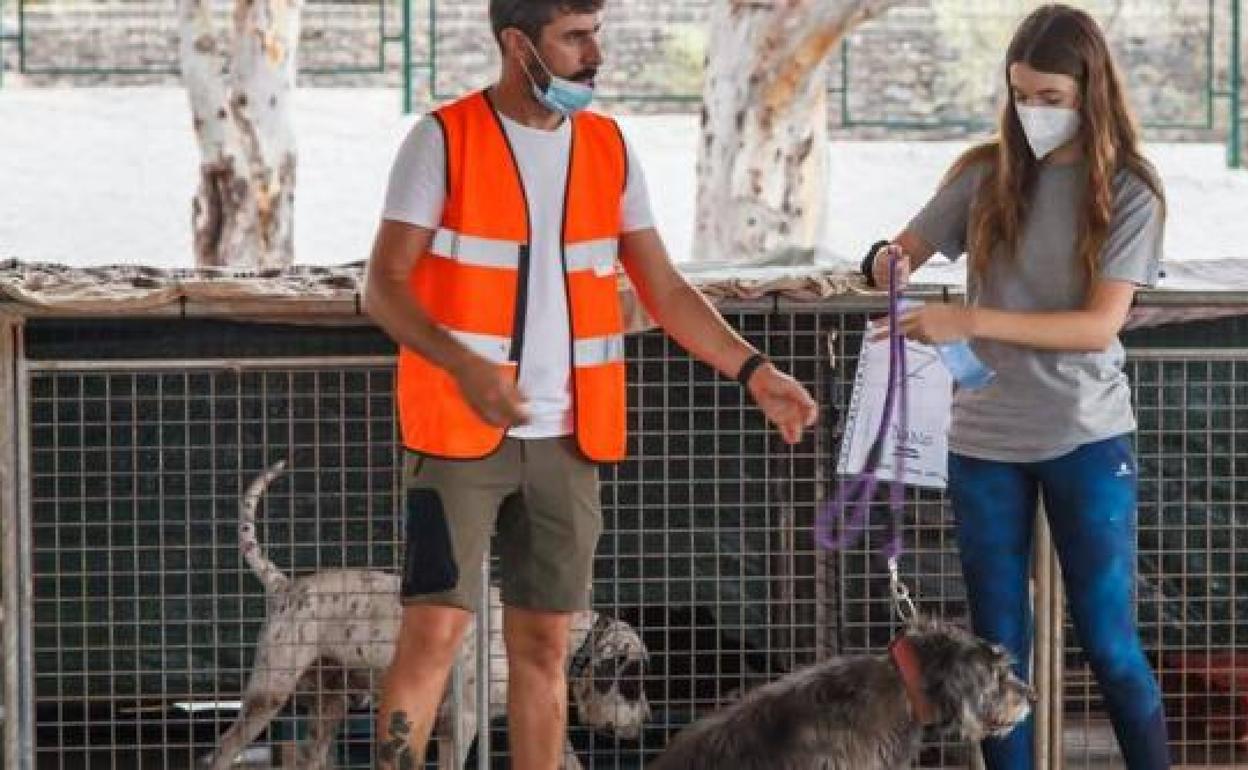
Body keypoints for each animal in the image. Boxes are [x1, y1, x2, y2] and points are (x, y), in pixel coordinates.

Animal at [202, 461, 653, 768]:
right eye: (633, 683)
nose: (648, 721)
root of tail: (284, 586)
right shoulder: (460, 719)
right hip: (269, 693)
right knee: (219, 753)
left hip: (330, 705)